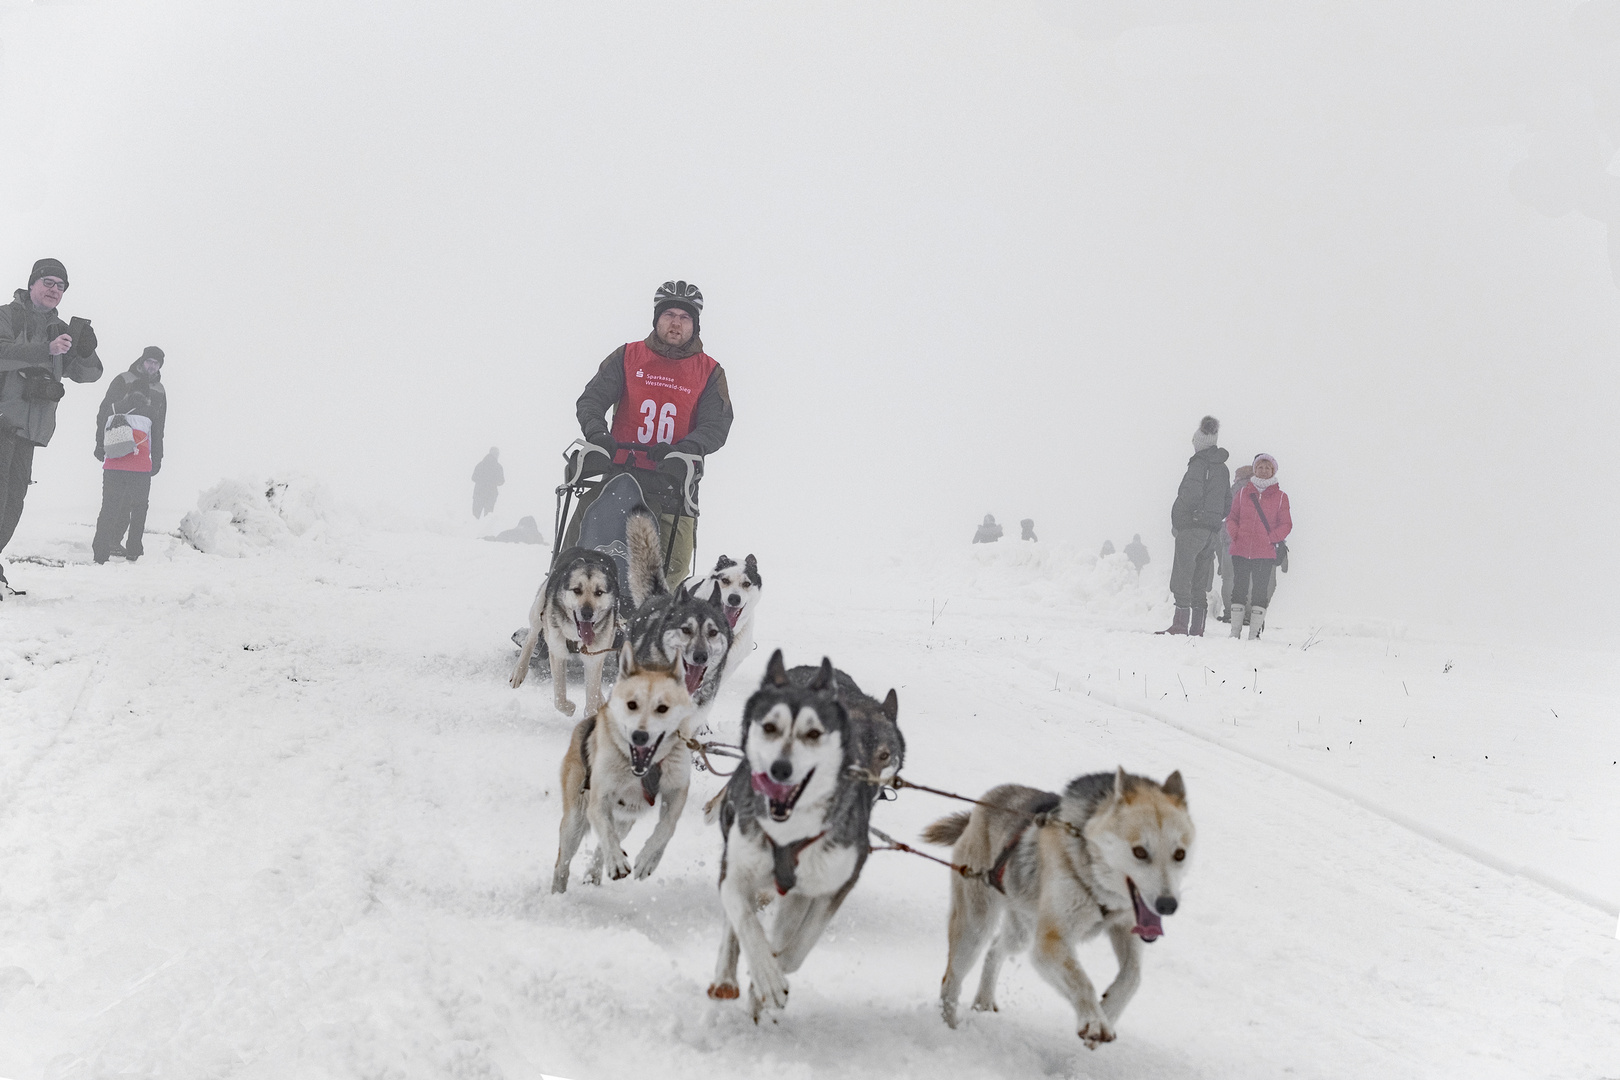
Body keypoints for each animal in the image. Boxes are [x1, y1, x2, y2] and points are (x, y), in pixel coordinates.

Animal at [511, 550, 618, 718]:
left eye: (599, 592)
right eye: (577, 590)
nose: (587, 613)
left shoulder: (594, 659)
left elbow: (592, 694)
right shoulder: (558, 652)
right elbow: (559, 698)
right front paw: (570, 708)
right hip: (538, 610)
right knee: (531, 638)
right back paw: (519, 671)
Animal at [554, 641, 693, 893]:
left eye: (662, 708)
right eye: (632, 705)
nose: (640, 735)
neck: (643, 770)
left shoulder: (677, 790)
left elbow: (667, 827)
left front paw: (648, 860)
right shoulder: (598, 800)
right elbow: (607, 834)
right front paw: (618, 862)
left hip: (626, 819)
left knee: (605, 844)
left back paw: (595, 873)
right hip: (575, 821)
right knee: (563, 863)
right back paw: (559, 894)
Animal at [706, 654, 894, 1016]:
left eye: (884, 754)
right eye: (851, 743)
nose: (865, 783)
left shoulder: (826, 885)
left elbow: (795, 944)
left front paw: (768, 977)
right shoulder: (737, 871)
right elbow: (744, 923)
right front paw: (764, 977)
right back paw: (726, 977)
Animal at [926, 767, 1192, 1049]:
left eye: (1180, 854)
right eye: (1139, 852)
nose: (1168, 905)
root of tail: (984, 802)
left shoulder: (1125, 926)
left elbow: (1133, 976)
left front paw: (1107, 1012)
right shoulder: (1050, 942)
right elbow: (1081, 980)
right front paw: (1094, 1021)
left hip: (1021, 932)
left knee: (995, 950)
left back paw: (984, 1002)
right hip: (975, 927)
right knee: (951, 981)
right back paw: (948, 1029)